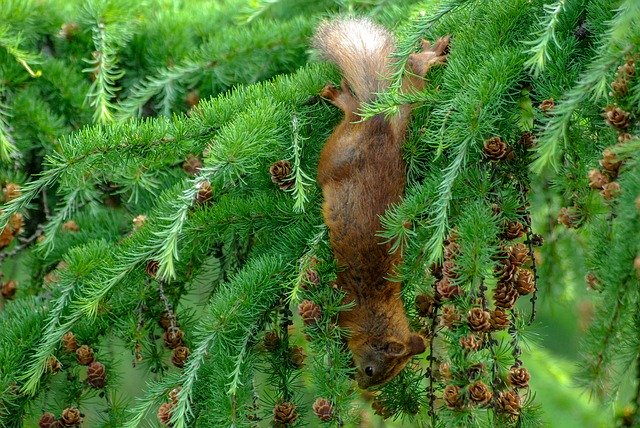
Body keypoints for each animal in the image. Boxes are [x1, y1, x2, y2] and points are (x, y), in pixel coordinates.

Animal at [312, 18, 448, 390]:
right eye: (374, 370)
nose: (361, 386)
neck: (377, 310)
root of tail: (382, 127)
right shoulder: (349, 309)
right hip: (334, 155)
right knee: (354, 113)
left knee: (412, 72)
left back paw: (430, 54)